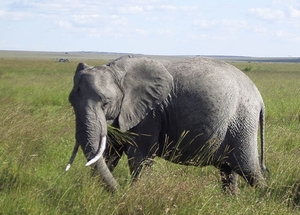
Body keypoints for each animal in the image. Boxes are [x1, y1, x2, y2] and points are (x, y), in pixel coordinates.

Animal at [65, 55, 268, 193]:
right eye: (71, 102)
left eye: (106, 103)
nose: (120, 192)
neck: (117, 71)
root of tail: (259, 98)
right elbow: (109, 153)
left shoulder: (149, 114)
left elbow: (140, 156)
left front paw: (136, 194)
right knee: (228, 171)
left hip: (242, 121)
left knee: (249, 170)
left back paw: (263, 198)